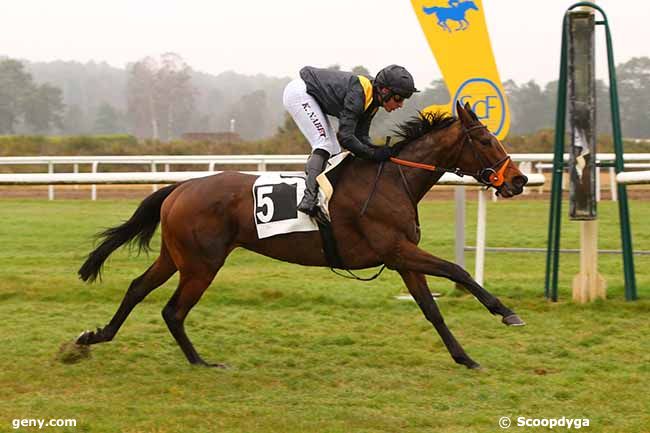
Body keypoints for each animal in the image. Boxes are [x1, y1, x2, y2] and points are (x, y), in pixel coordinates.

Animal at [78, 101, 528, 368]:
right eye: (485, 139)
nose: (519, 180)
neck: (392, 180)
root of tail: (181, 187)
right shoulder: (397, 249)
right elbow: (457, 271)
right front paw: (506, 312)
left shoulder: (401, 258)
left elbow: (431, 308)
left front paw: (464, 357)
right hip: (201, 264)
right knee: (172, 310)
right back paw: (201, 362)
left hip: (176, 257)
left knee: (138, 289)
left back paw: (92, 337)